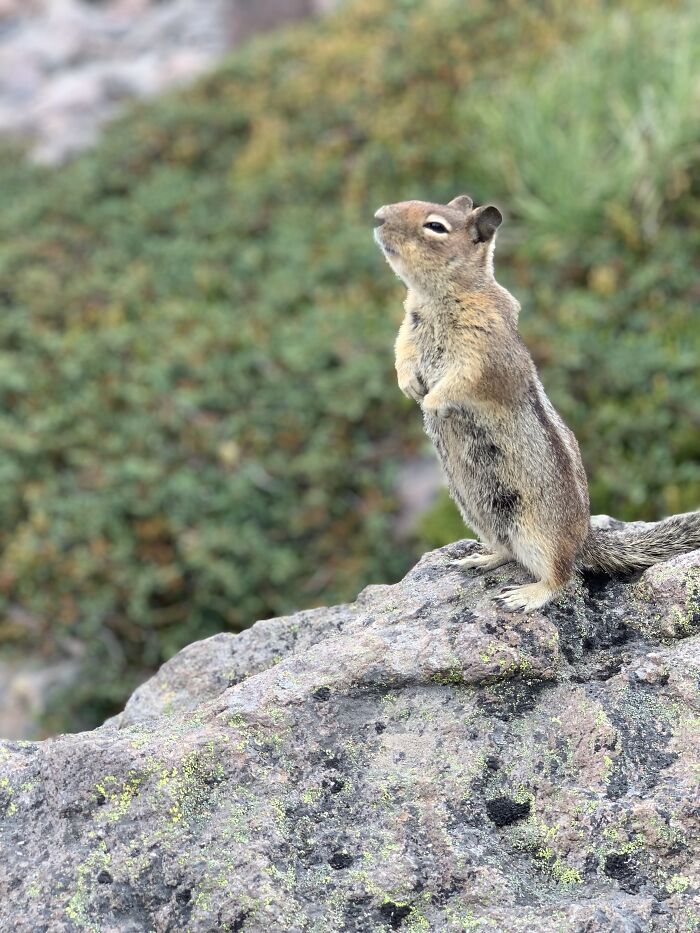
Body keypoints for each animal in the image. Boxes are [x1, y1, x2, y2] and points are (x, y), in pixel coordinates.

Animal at [373, 194, 700, 612]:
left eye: (435, 226)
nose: (378, 216)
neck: (436, 299)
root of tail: (584, 540)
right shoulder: (406, 332)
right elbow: (401, 355)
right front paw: (409, 387)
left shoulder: (485, 355)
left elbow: (465, 381)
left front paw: (431, 402)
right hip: (480, 515)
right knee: (507, 550)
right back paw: (480, 558)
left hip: (540, 535)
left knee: (563, 576)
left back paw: (527, 595)